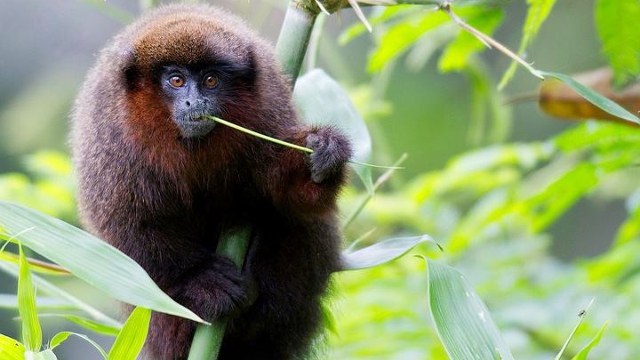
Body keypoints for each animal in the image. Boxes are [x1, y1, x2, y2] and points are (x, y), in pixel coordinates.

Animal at [70, 3, 352, 360]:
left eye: (210, 80)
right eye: (176, 80)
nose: (196, 102)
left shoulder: (268, 109)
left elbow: (286, 195)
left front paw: (320, 156)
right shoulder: (111, 136)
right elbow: (129, 223)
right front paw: (201, 280)